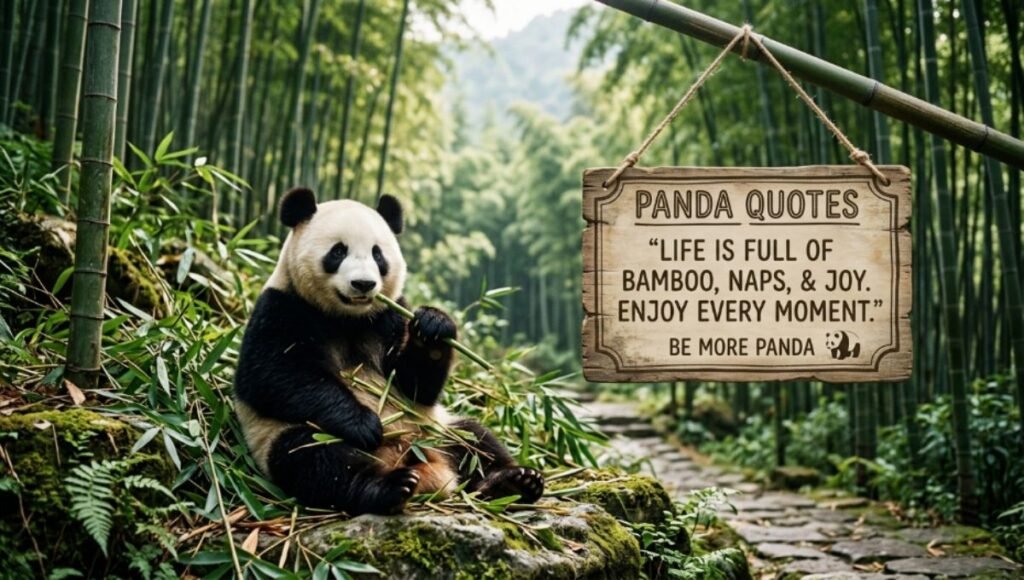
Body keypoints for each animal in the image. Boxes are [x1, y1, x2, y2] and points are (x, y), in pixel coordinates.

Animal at [234, 187, 544, 515]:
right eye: (338, 252)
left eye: (377, 254)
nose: (363, 284)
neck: (347, 317)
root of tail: (419, 463)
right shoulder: (282, 307)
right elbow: (275, 375)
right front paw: (365, 424)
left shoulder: (391, 315)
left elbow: (417, 384)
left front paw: (434, 326)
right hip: (285, 435)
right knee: (317, 460)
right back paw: (388, 487)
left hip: (437, 428)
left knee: (475, 439)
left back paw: (514, 482)